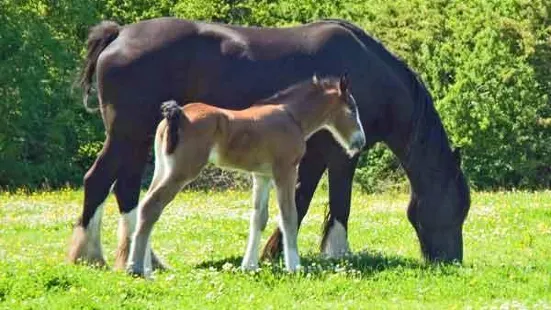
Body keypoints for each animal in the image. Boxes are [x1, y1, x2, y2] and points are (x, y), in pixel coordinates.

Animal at [126, 74, 364, 276]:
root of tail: (177, 116)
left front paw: (249, 266)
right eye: (352, 109)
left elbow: (258, 218)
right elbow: (288, 216)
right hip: (182, 171)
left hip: (162, 169)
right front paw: (294, 266)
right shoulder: (285, 170)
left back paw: (145, 267)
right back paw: (135, 268)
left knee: (145, 206)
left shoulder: (262, 176)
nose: (360, 142)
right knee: (151, 206)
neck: (291, 117)